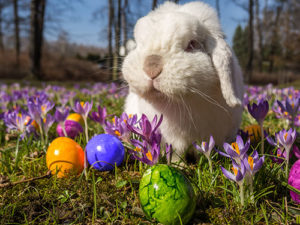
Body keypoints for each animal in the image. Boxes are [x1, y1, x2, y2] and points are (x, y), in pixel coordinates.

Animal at [121, 0, 244, 161]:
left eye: (192, 44)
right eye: (138, 44)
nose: (151, 67)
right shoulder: (171, 141)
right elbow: (175, 156)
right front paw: (181, 165)